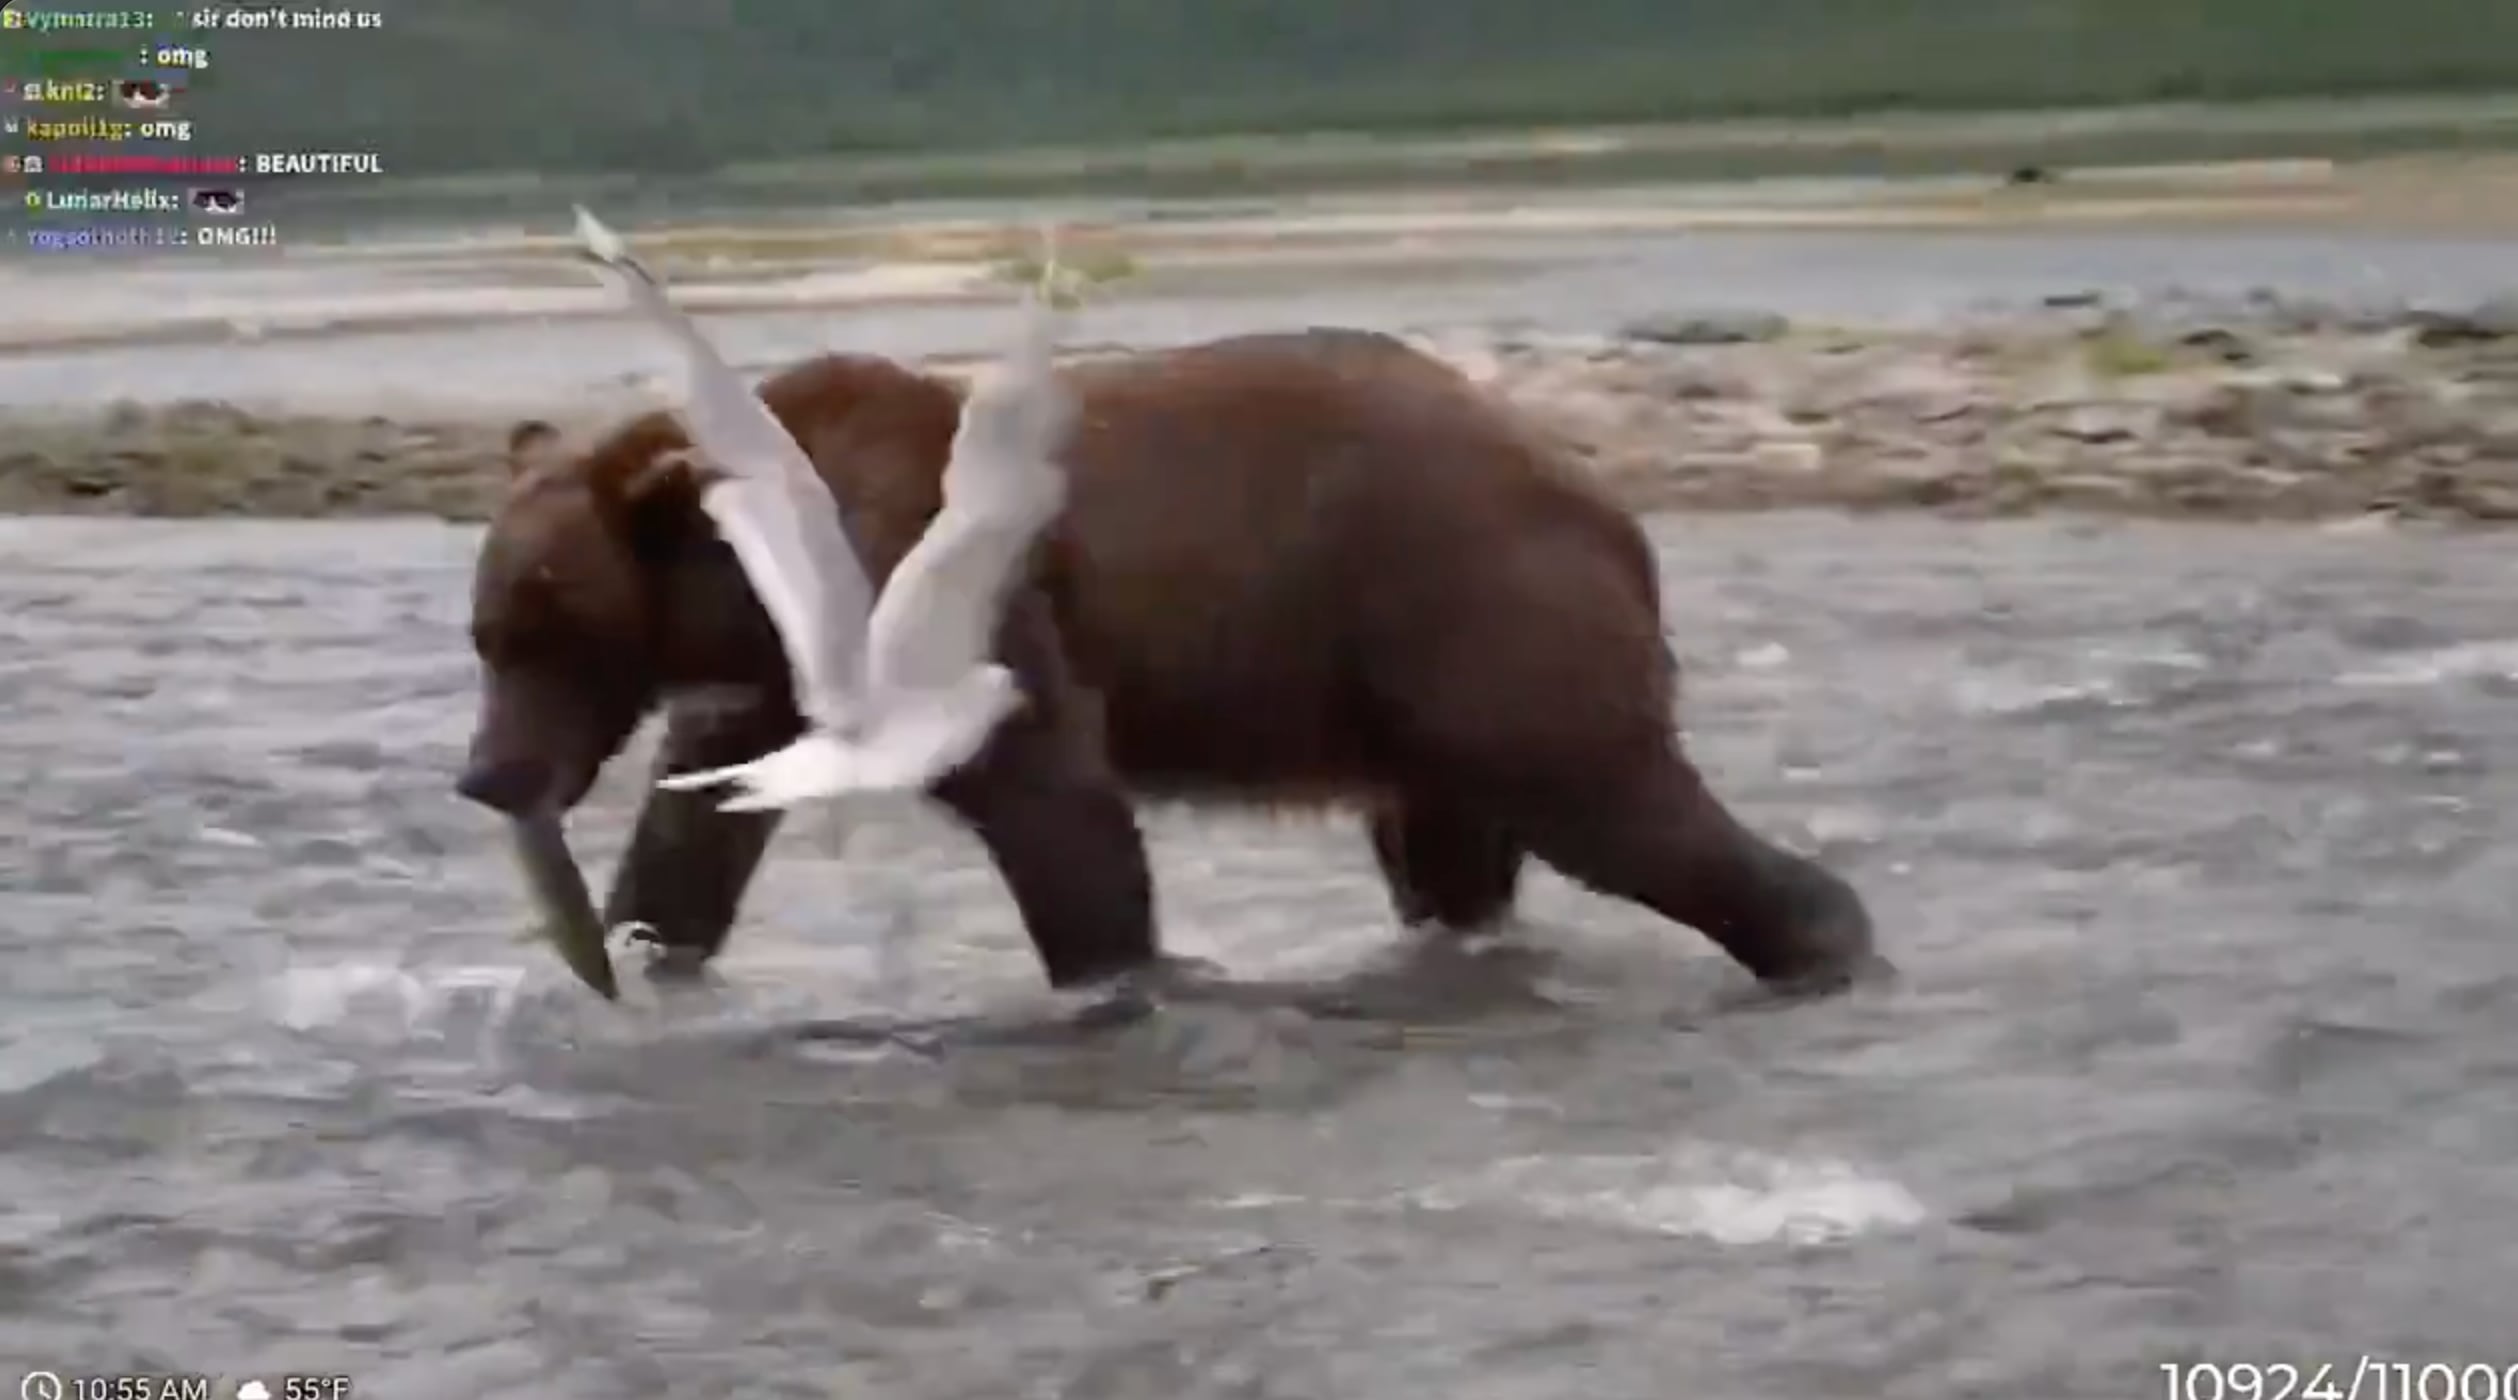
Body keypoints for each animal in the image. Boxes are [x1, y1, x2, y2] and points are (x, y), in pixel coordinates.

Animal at [457, 328, 1878, 997]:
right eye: (488, 630)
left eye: (540, 626)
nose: (486, 775)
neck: (743, 582)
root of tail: (1599, 494)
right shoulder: (754, 683)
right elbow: (696, 832)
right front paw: (641, 948)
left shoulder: (954, 615)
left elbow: (1057, 806)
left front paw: (1116, 977)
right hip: (1397, 678)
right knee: (1452, 847)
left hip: (1471, 608)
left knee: (1608, 798)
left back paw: (1822, 938)